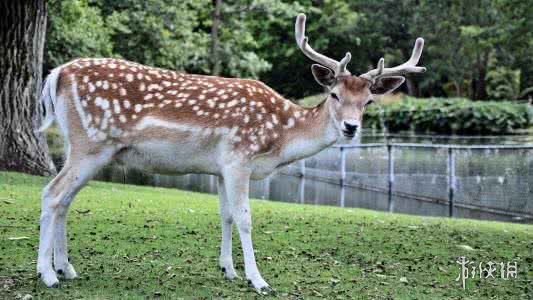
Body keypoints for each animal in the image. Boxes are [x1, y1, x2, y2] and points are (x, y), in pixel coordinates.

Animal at [35, 12, 424, 292]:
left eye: (369, 101)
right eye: (334, 95)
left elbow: (224, 215)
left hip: (77, 145)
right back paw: (47, 275)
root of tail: (55, 75)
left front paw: (228, 269)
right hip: (91, 144)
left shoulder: (220, 167)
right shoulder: (240, 157)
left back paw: (66, 267)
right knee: (52, 193)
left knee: (65, 199)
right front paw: (259, 280)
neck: (279, 139)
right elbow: (245, 217)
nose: (351, 127)